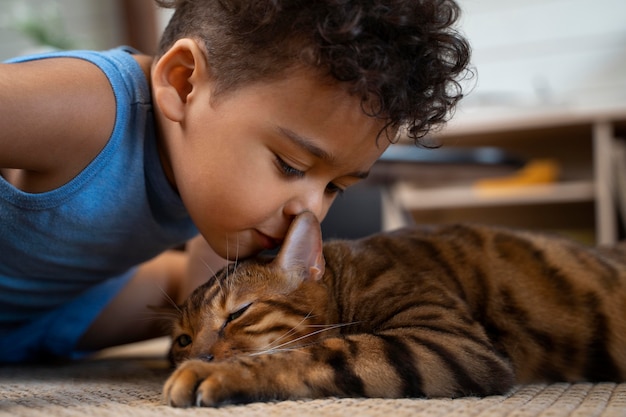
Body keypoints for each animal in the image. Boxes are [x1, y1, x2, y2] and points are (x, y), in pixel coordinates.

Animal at [162, 210, 624, 404]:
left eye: (238, 313)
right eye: (183, 339)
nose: (200, 354)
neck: (347, 275)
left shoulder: (446, 340)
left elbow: (320, 352)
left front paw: (216, 373)